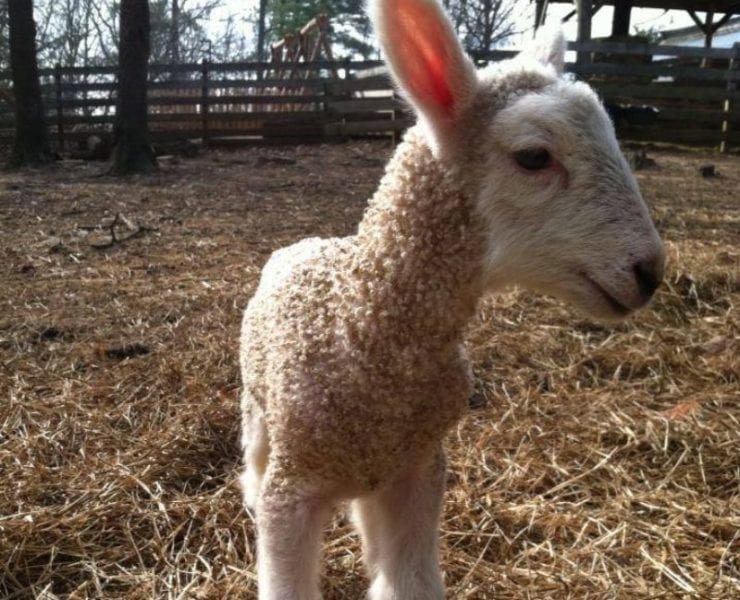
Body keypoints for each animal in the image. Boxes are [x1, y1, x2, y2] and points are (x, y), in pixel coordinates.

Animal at [238, 0, 665, 598]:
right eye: (533, 157)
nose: (650, 271)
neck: (360, 322)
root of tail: (308, 241)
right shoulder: (293, 489)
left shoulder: (419, 470)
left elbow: (412, 580)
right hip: (257, 409)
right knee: (253, 464)